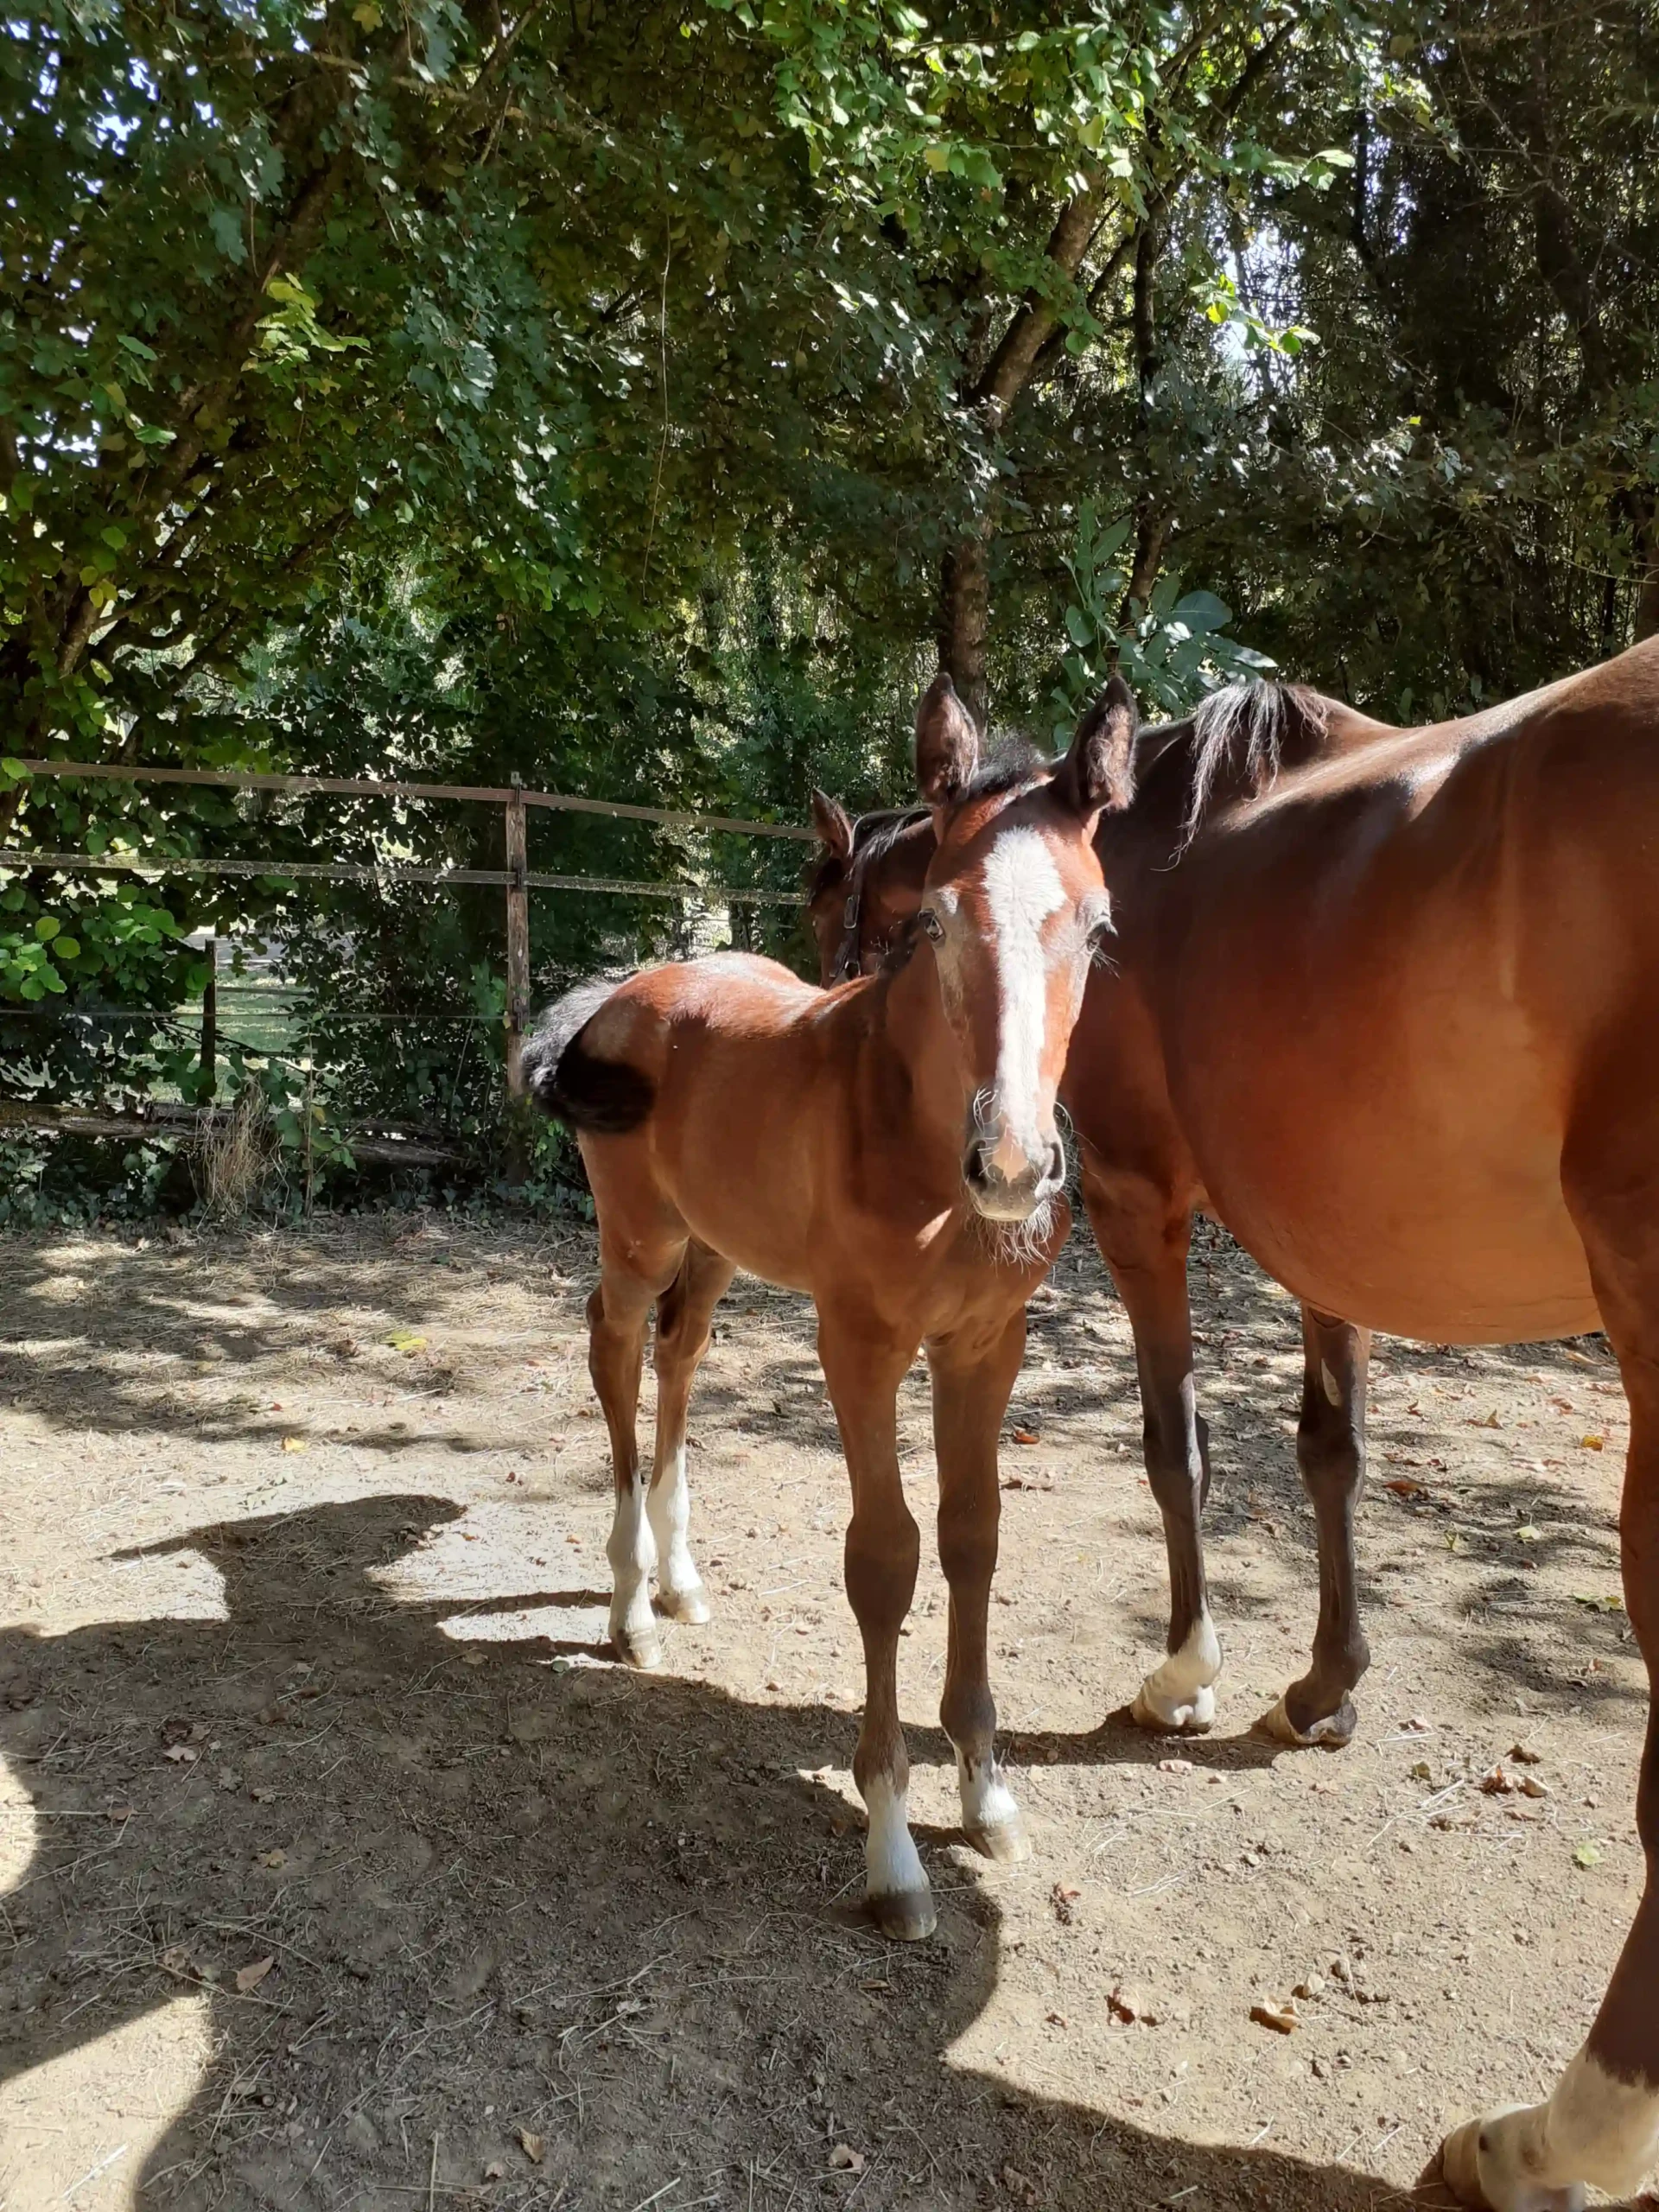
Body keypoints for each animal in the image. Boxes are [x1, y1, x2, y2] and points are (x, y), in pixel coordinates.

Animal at [525, 674, 1132, 1942]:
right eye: (937, 920)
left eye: (1097, 929)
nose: (1014, 1167)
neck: (913, 1137)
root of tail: (627, 988)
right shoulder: (859, 1345)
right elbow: (886, 1559)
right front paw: (893, 1851)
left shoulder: (985, 1347)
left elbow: (973, 1536)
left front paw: (987, 1792)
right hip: (641, 1239)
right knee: (613, 1352)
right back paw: (628, 1606)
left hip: (714, 1250)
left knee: (680, 1358)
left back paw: (678, 1577)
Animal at [808, 638, 1659, 2209]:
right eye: (916, 926)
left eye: (833, 915)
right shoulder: (1334, 1239)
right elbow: (1330, 1451)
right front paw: (1325, 1686)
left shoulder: (1139, 1199)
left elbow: (1177, 1447)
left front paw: (1185, 1674)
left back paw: (1543, 2145)